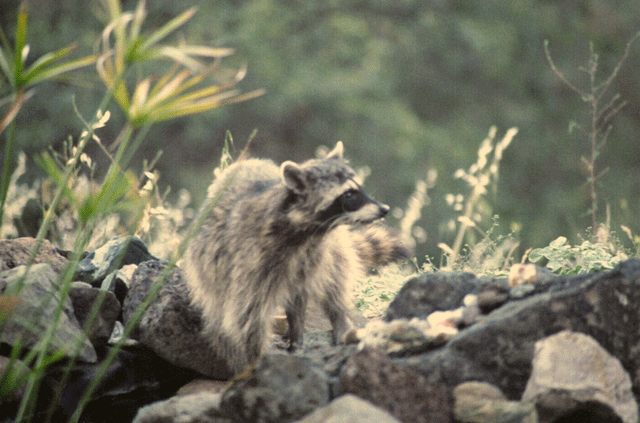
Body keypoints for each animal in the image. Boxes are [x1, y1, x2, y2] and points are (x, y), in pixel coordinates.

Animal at [183, 141, 410, 375]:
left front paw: (299, 337)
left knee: (334, 276)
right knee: (219, 311)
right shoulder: (250, 259)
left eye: (359, 189)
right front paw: (256, 358)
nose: (385, 209)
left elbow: (304, 294)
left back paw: (337, 320)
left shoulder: (313, 252)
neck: (305, 231)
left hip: (329, 250)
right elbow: (247, 316)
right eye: (348, 194)